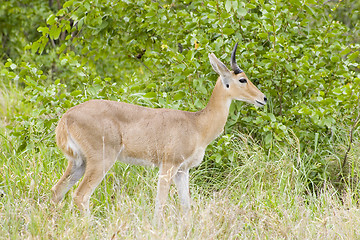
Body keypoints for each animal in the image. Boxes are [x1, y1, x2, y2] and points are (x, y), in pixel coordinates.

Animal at [50, 43, 266, 216]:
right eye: (242, 79)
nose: (263, 98)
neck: (196, 124)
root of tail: (66, 117)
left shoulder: (182, 170)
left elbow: (186, 205)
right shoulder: (168, 165)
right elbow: (160, 203)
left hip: (79, 162)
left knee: (57, 191)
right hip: (101, 161)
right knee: (80, 196)